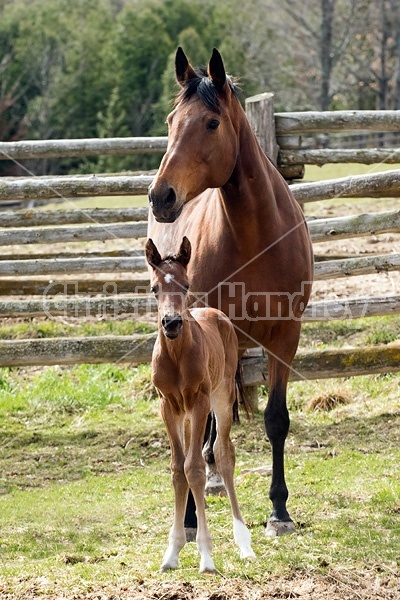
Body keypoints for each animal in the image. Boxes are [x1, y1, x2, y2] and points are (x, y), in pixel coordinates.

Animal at [145, 237, 255, 576]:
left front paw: (206, 556)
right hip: (186, 414)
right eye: (154, 288)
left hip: (221, 396)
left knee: (224, 453)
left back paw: (244, 543)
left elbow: (194, 469)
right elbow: (177, 470)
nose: (171, 323)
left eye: (186, 285)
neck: (177, 356)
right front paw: (172, 553)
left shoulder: (200, 402)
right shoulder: (168, 406)